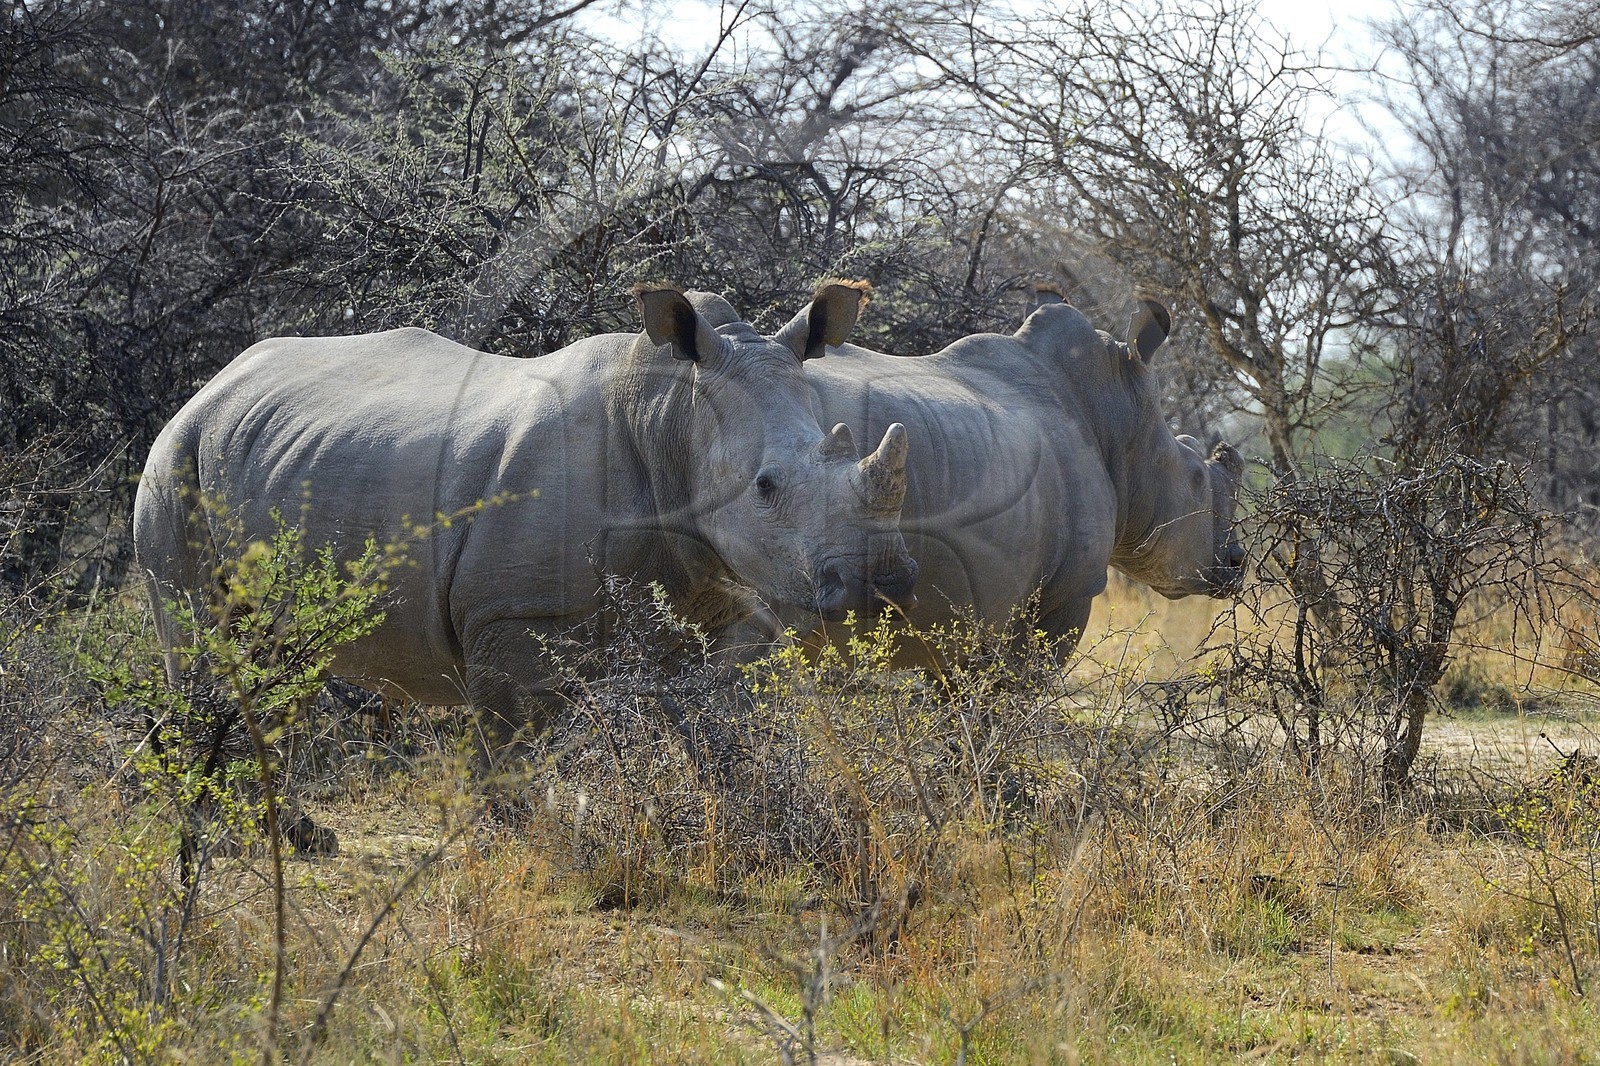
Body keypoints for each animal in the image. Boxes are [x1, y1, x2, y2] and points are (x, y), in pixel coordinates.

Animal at [133, 284, 919, 757]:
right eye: (765, 487)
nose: (882, 582)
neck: (669, 416)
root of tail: (212, 383)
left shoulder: (705, 578)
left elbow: (729, 694)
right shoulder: (509, 615)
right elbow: (508, 757)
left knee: (271, 659)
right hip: (174, 459)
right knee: (207, 642)